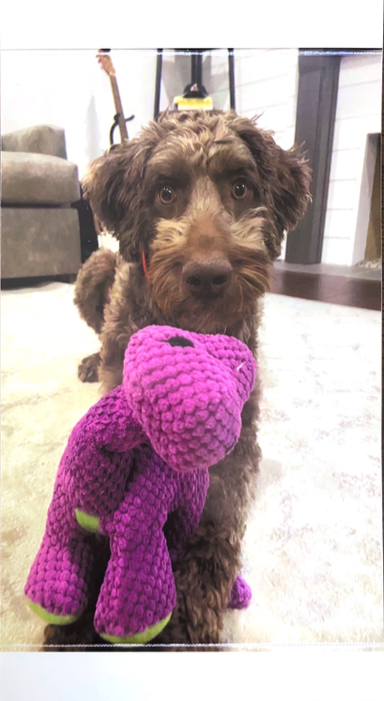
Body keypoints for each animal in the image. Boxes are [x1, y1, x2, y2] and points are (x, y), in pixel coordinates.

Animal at [42, 110, 312, 652]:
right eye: (165, 192)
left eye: (240, 187)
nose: (208, 275)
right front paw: (75, 619)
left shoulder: (238, 439)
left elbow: (215, 517)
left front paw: (187, 611)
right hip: (96, 265)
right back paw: (89, 359)